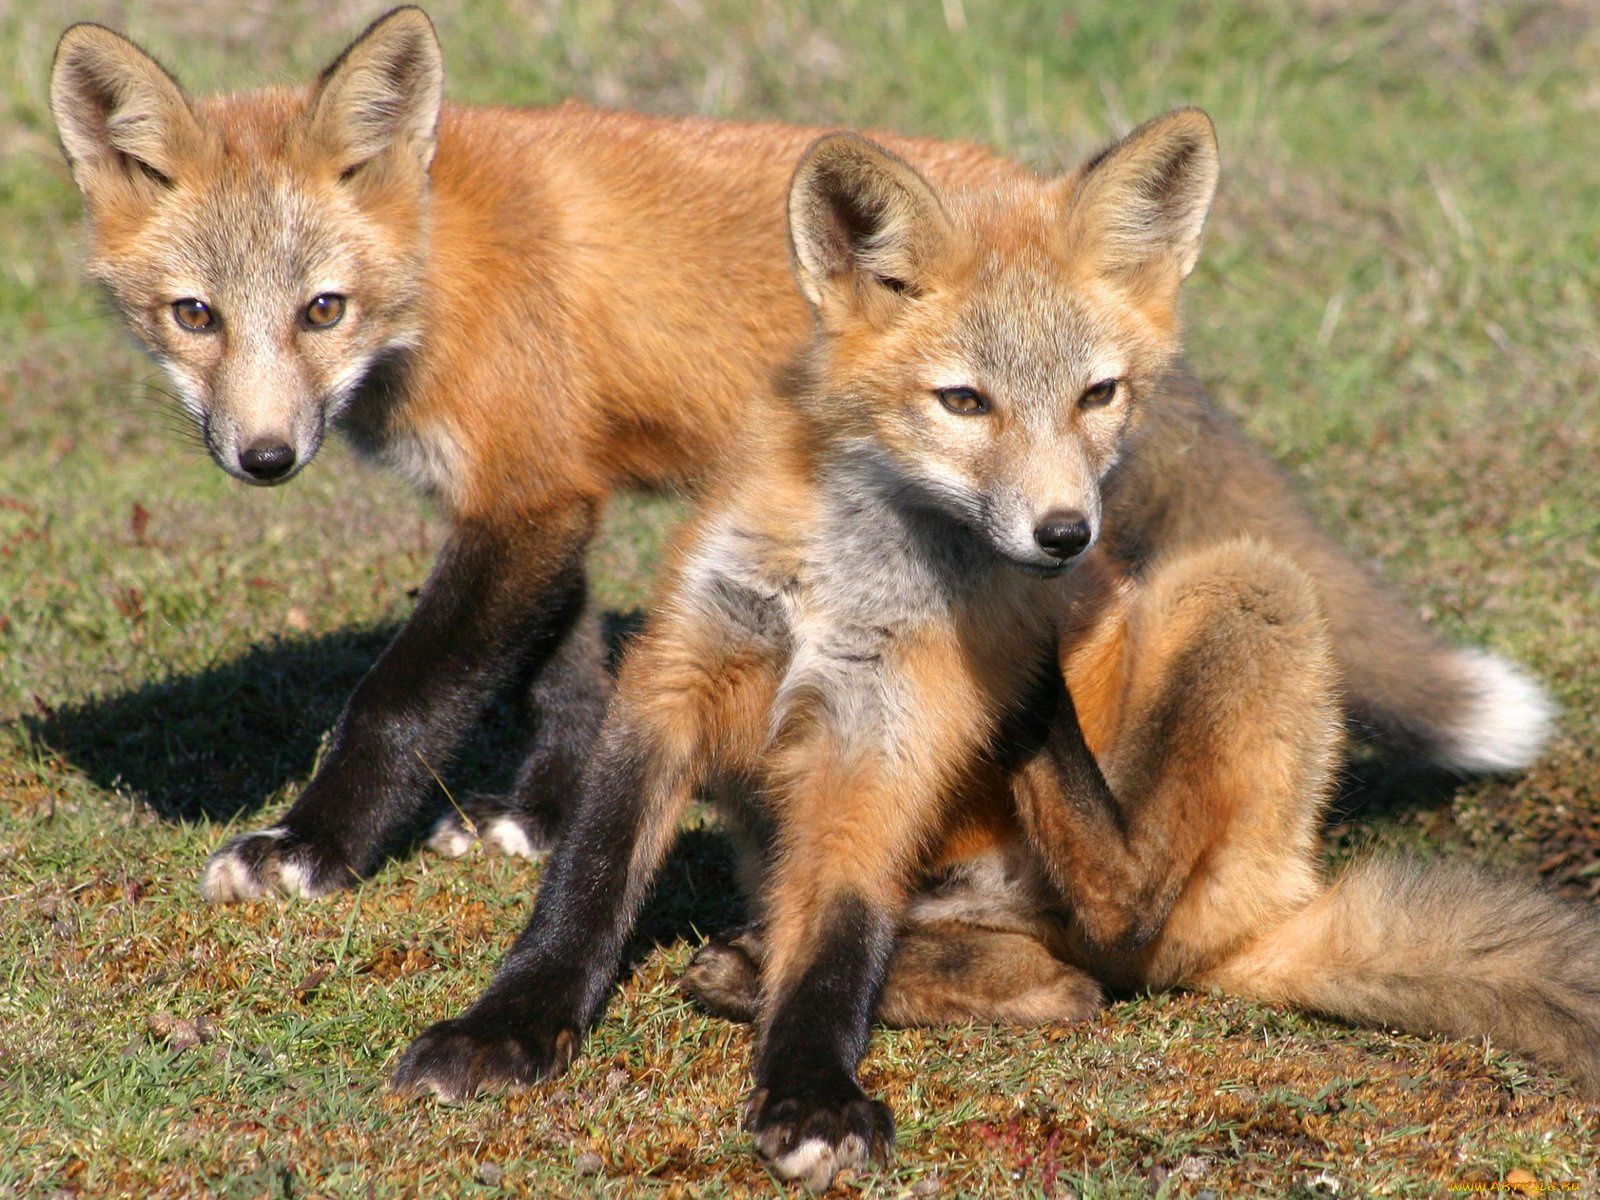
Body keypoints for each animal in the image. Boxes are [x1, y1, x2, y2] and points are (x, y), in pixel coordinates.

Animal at [52, 8, 1548, 907]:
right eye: (194, 316)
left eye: (321, 310)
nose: (262, 456)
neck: (442, 273)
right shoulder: (556, 496)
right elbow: (567, 673)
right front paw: (543, 820)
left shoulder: (524, 495)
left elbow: (401, 696)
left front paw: (308, 848)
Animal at [388, 113, 1598, 1189]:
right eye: (963, 401)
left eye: (1097, 394)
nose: (1064, 537)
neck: (847, 584)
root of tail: (1282, 894)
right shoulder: (679, 675)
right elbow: (588, 884)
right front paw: (507, 1032)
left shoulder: (884, 736)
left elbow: (836, 950)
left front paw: (811, 1095)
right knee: (1051, 984)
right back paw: (759, 962)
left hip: (1243, 587)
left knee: (1123, 913)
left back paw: (1019, 722)